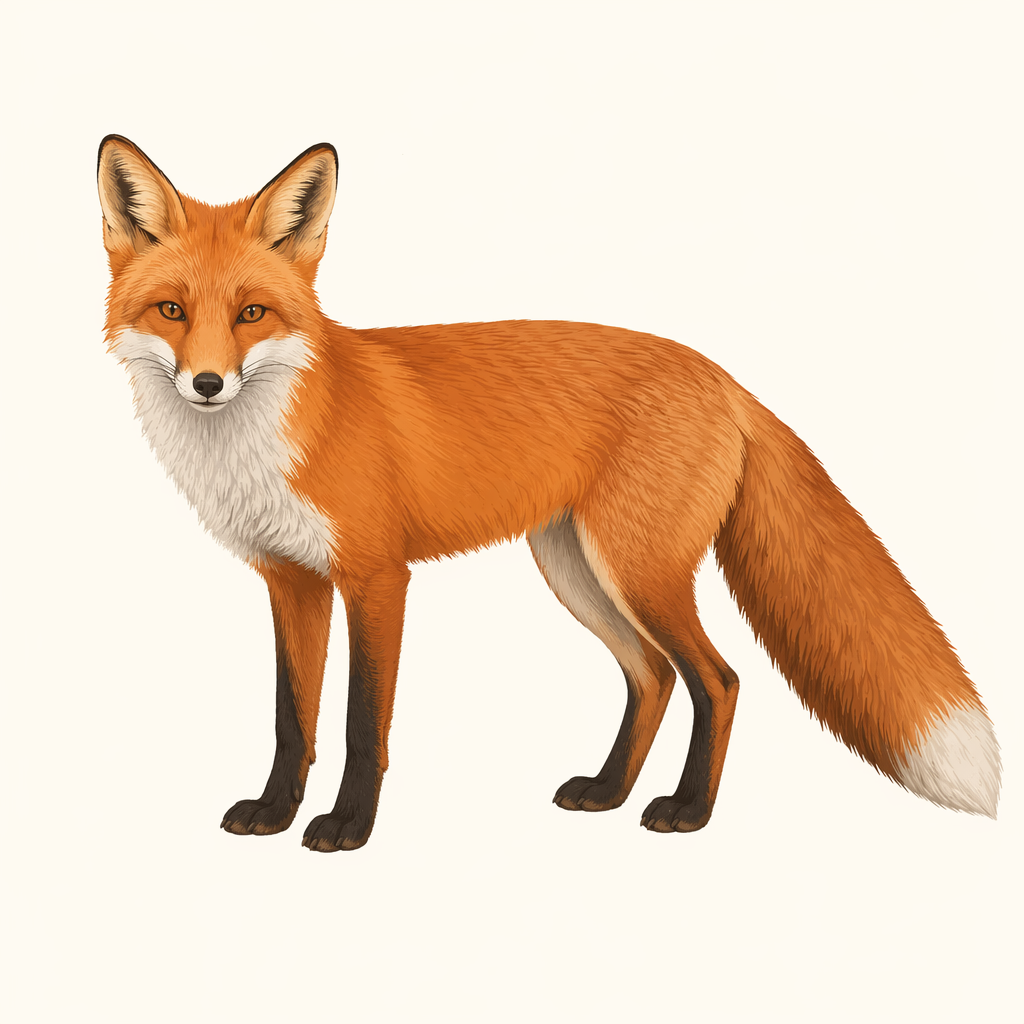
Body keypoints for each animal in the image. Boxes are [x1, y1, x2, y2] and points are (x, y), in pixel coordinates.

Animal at [97, 135, 1001, 852]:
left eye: (251, 313)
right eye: (172, 310)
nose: (207, 384)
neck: (276, 433)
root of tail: (721, 375)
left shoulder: (377, 578)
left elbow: (359, 724)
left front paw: (348, 827)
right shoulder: (292, 580)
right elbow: (293, 718)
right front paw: (276, 812)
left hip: (638, 570)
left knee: (717, 680)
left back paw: (687, 811)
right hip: (575, 569)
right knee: (653, 676)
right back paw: (608, 792)